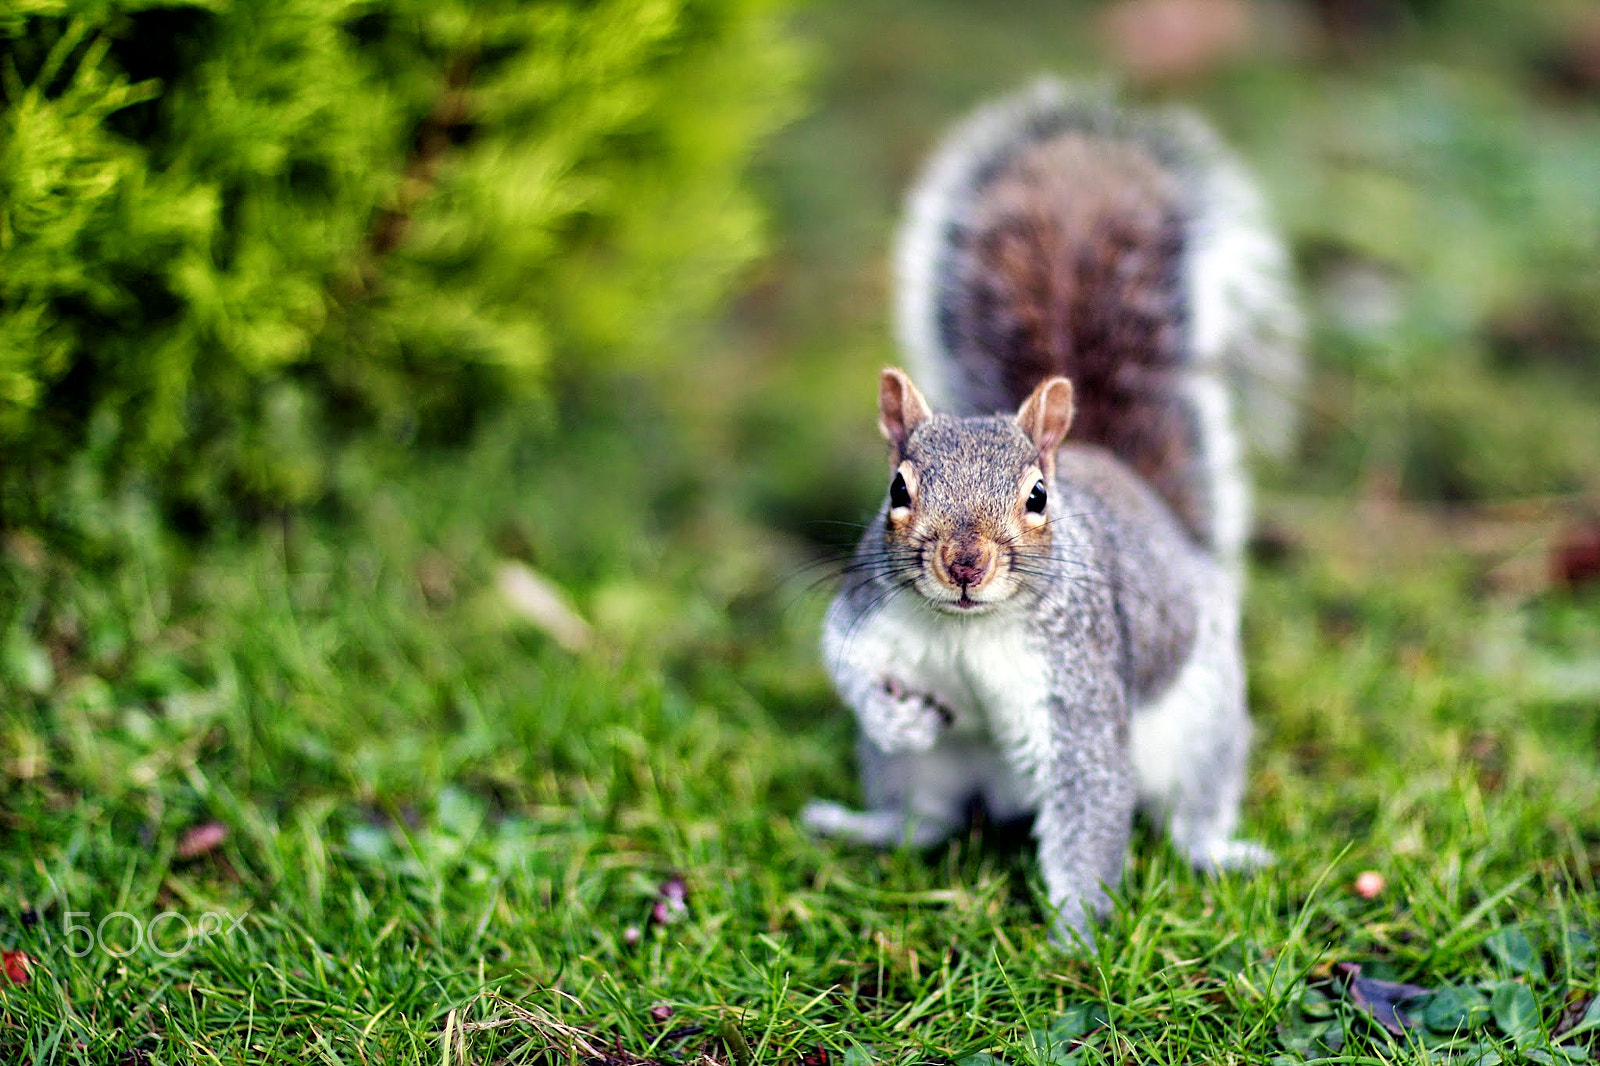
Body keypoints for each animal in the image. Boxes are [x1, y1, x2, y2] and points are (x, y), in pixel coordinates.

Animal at [796, 80, 1299, 941]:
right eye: (898, 489)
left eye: (1036, 497)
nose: (965, 565)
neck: (966, 629)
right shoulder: (868, 612)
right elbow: (845, 661)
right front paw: (894, 715)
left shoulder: (1080, 689)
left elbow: (1091, 807)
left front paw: (1076, 940)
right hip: (915, 773)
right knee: (923, 821)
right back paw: (859, 824)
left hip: (1203, 719)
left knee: (1193, 811)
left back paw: (1219, 851)